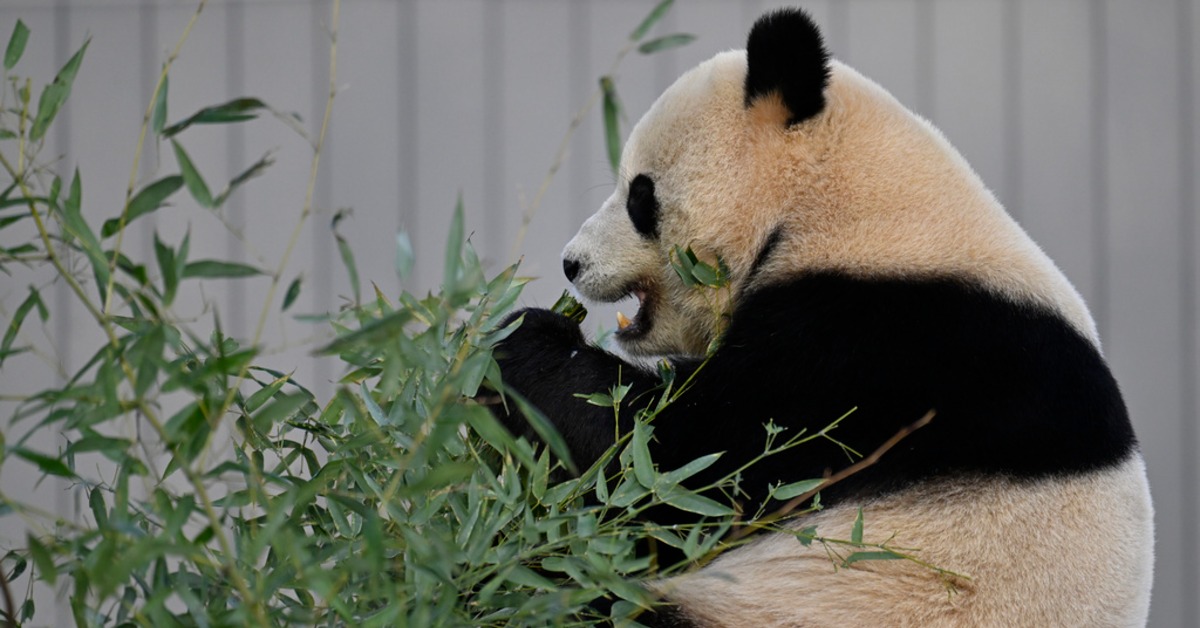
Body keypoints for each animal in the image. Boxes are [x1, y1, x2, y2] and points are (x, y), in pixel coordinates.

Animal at [492, 6, 1156, 628]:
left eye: (639, 194)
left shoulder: (879, 342)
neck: (843, 201)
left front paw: (524, 344)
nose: (571, 263)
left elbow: (687, 468)